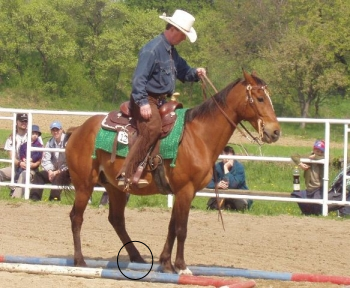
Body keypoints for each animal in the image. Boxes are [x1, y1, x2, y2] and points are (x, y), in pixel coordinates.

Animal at [64, 71, 280, 276]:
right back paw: (80, 261)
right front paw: (182, 266)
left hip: (114, 187)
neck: (197, 136)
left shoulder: (183, 192)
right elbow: (181, 229)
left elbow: (172, 227)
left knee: (116, 220)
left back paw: (137, 258)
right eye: (260, 98)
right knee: (76, 217)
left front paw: (166, 264)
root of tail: (78, 129)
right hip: (84, 185)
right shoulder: (185, 190)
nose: (276, 132)